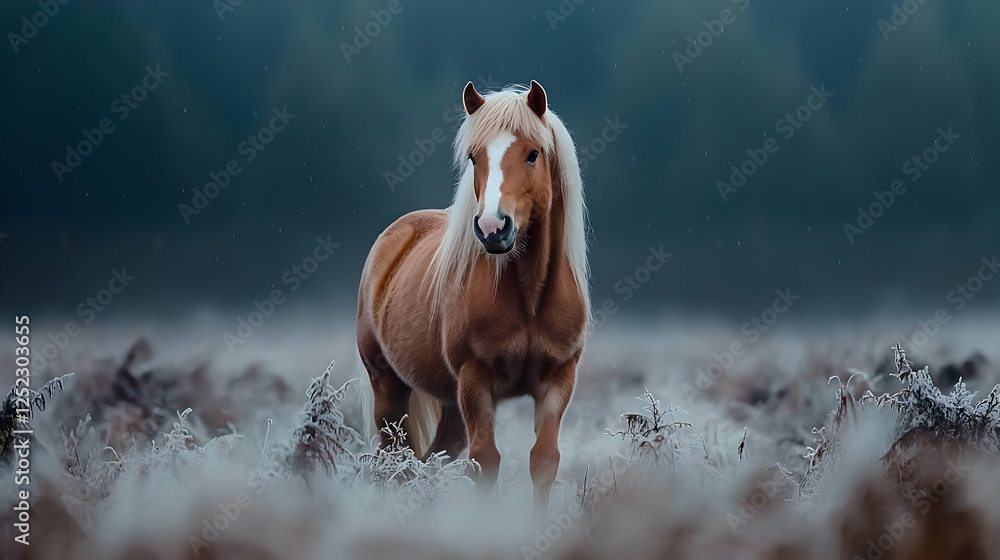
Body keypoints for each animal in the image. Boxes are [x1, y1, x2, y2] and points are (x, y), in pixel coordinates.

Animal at [357, 80, 589, 510]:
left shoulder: (558, 379)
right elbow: (485, 462)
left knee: (427, 460)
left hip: (449, 408)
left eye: (533, 153)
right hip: (389, 389)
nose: (493, 227)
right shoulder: (475, 379)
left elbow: (544, 460)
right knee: (395, 461)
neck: (529, 297)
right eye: (473, 157)